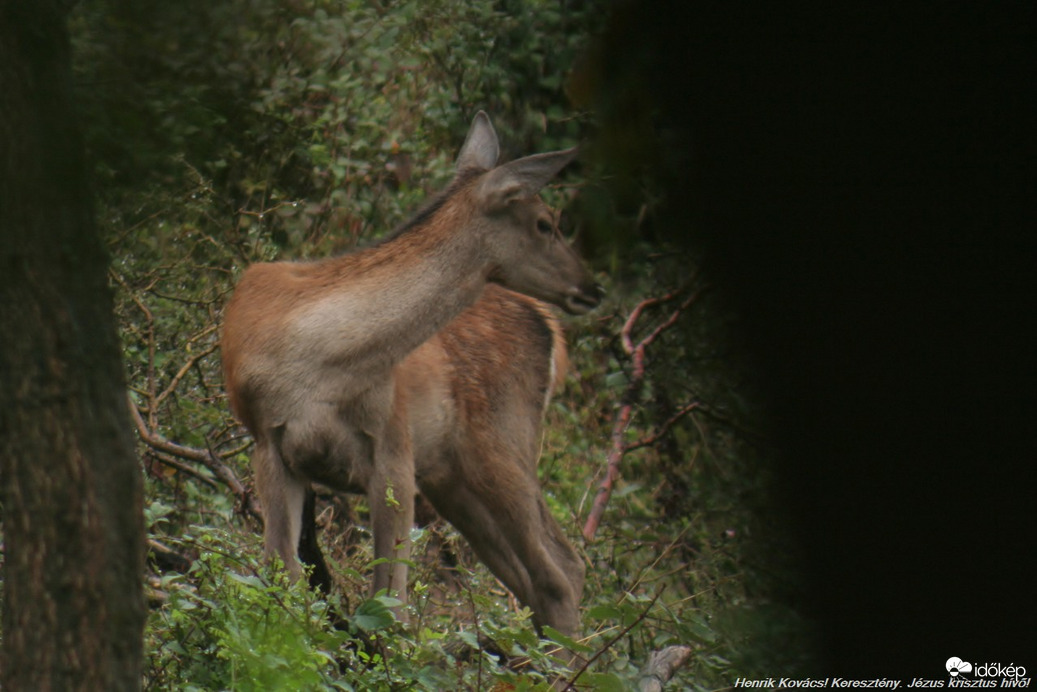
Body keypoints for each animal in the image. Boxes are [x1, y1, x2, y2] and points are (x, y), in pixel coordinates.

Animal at [222, 111, 605, 634]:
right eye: (546, 223)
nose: (592, 288)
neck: (316, 364)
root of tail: (549, 328)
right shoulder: (267, 442)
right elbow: (283, 578)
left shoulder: (394, 445)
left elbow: (390, 604)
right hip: (455, 475)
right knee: (542, 577)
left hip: (503, 439)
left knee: (561, 570)